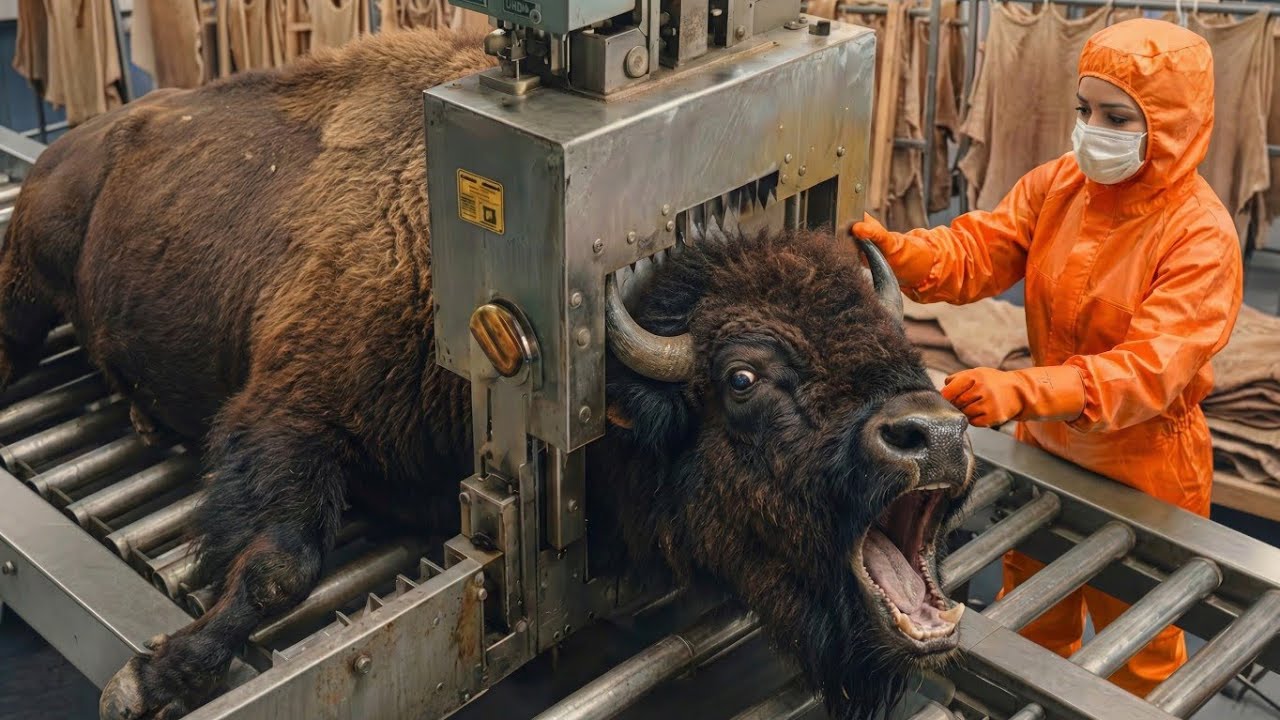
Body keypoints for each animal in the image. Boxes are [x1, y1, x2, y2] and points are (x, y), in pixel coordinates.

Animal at [0, 26, 976, 720]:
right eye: (742, 379)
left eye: (887, 333)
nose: (935, 435)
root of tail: (88, 138)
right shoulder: (285, 411)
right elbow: (279, 562)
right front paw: (148, 680)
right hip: (28, 278)